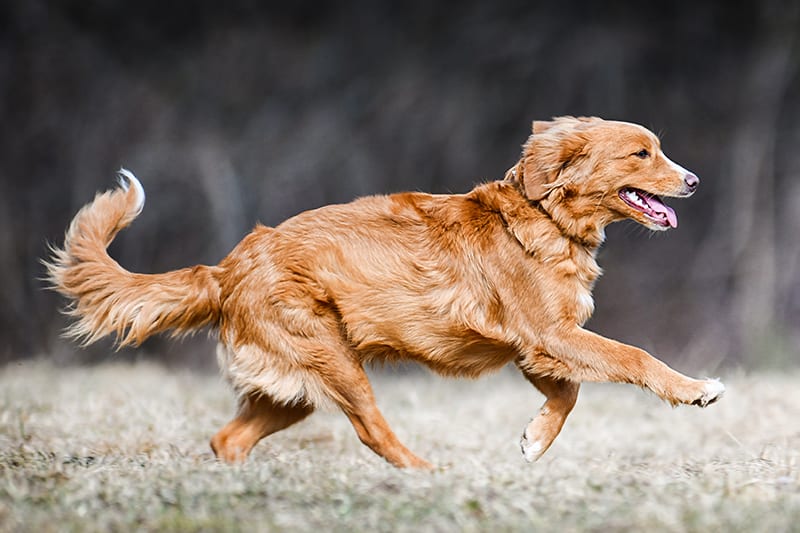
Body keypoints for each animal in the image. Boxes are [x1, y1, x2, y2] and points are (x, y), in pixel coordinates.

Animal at [48, 115, 724, 466]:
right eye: (642, 153)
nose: (695, 180)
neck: (546, 215)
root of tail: (227, 267)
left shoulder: (535, 349)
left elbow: (569, 396)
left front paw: (534, 440)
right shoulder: (550, 336)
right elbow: (633, 357)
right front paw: (694, 389)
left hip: (290, 393)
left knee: (226, 438)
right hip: (335, 364)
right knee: (374, 432)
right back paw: (427, 475)